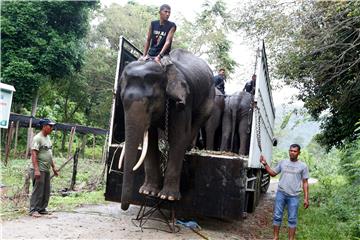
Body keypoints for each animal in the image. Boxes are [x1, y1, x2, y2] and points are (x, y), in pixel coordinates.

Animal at [119, 48, 214, 210]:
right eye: (121, 98)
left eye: (151, 100)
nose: (124, 207)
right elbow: (150, 141)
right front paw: (148, 192)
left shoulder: (183, 102)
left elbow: (179, 137)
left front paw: (168, 197)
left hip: (209, 98)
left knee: (196, 123)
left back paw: (188, 148)